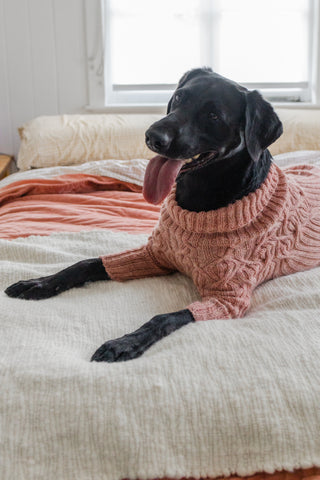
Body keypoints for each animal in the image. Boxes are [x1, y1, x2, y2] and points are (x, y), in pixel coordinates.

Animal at [5, 66, 320, 360]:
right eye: (179, 97)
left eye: (214, 116)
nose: (152, 137)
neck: (200, 202)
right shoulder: (156, 254)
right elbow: (87, 263)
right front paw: (39, 283)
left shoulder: (228, 298)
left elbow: (163, 317)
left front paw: (124, 343)